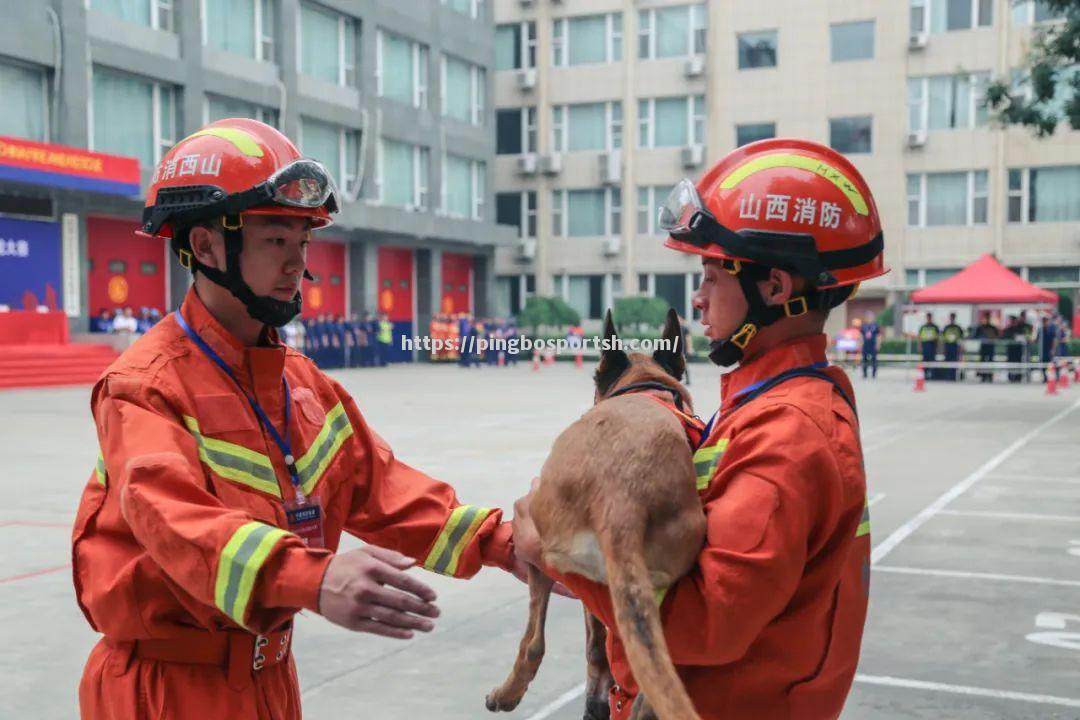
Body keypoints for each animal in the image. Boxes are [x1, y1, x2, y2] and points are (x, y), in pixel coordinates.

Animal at [486, 308, 704, 720]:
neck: (645, 390)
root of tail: (621, 499)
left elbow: (590, 648)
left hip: (541, 548)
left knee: (534, 642)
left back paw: (508, 692)